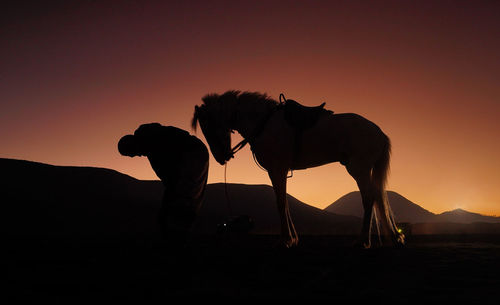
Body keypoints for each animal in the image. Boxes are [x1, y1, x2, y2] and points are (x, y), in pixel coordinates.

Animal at [189, 90, 404, 247]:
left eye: (207, 127)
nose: (221, 157)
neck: (264, 123)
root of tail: (379, 132)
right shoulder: (280, 171)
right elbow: (285, 202)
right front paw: (292, 238)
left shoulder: (276, 170)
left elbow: (280, 203)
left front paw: (286, 239)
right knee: (377, 197)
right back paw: (390, 237)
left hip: (358, 169)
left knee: (369, 199)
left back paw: (363, 241)